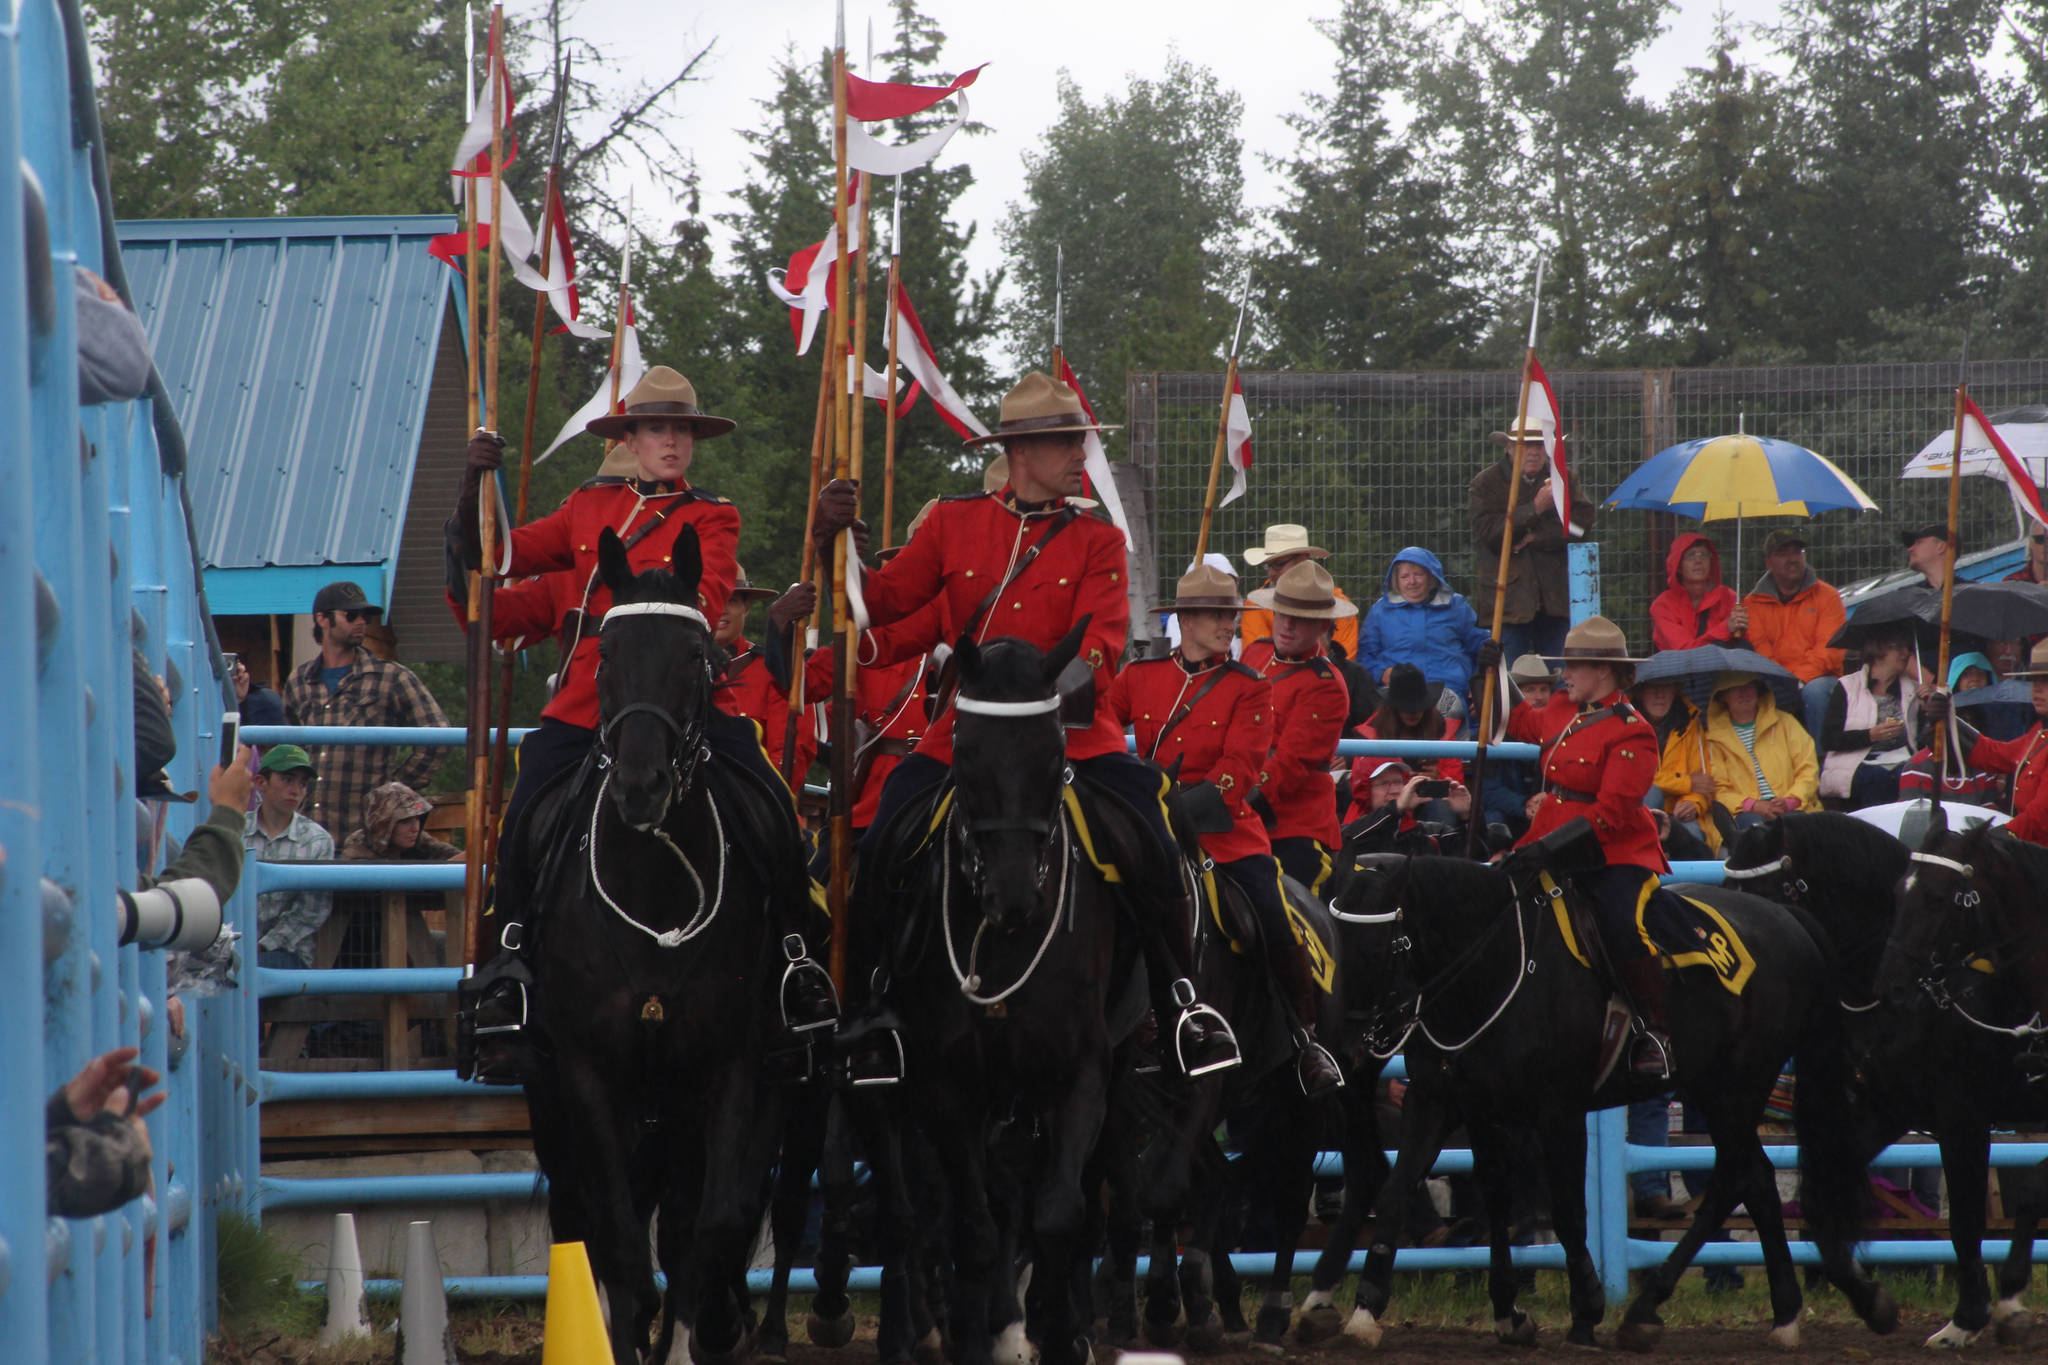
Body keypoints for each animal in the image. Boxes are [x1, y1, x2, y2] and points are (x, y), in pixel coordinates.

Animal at [512, 532, 798, 1365]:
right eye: (605, 656)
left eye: (694, 656)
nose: (641, 786)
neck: (655, 887)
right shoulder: (586, 1072)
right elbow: (617, 1237)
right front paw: (626, 1334)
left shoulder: (732, 1067)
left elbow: (710, 1226)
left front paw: (695, 1335)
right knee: (585, 1217)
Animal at [1318, 859, 1875, 1350]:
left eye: (1378, 947)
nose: (1342, 1047)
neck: (1498, 969)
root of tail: (1788, 918)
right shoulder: (1447, 1103)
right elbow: (1412, 1190)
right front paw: (1370, 1307)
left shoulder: (1558, 1113)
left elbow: (1566, 1213)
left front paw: (1584, 1308)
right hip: (1713, 1089)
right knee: (1752, 1180)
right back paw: (1775, 1312)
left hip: (1736, 1090)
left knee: (1737, 1180)